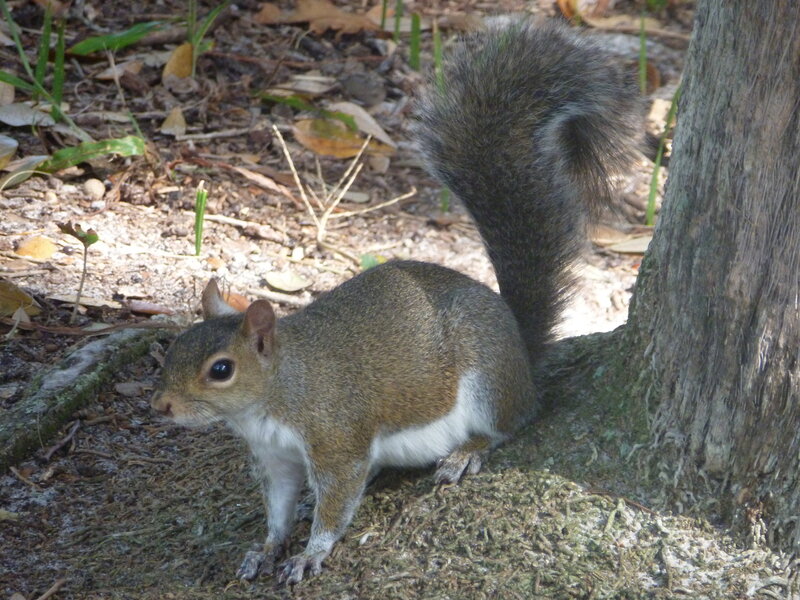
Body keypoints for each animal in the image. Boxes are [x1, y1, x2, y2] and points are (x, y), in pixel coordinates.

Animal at [151, 19, 640, 584]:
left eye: (221, 369)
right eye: (172, 349)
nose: (161, 406)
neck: (277, 390)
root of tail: (519, 346)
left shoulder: (336, 437)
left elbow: (337, 501)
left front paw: (311, 553)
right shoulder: (276, 458)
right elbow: (278, 505)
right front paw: (267, 546)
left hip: (488, 379)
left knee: (512, 423)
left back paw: (467, 452)